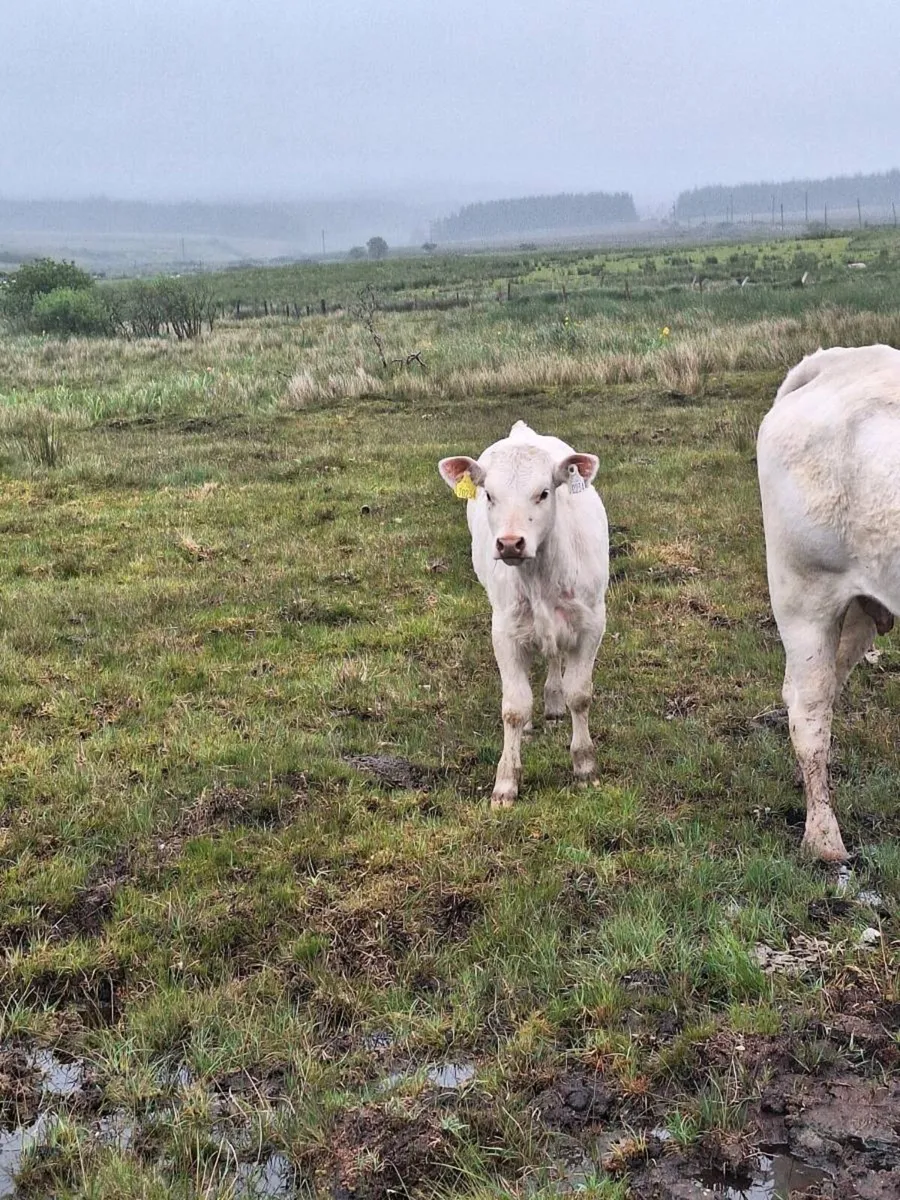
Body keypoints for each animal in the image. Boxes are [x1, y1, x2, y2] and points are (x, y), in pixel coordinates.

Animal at [439, 420, 609, 807]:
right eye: (489, 495)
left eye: (544, 493)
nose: (510, 543)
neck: (540, 576)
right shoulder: (504, 631)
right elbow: (514, 706)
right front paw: (505, 782)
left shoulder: (592, 623)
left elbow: (580, 694)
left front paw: (585, 767)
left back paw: (554, 702)